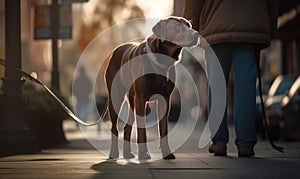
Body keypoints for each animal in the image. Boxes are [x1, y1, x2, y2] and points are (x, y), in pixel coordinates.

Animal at [105, 16, 199, 159]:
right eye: (177, 27)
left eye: (188, 25)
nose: (196, 34)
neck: (162, 61)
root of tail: (114, 51)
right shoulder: (141, 98)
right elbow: (142, 130)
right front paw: (144, 153)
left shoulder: (165, 99)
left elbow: (163, 129)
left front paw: (167, 152)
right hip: (116, 96)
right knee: (114, 127)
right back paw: (114, 152)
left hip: (132, 99)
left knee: (127, 127)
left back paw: (127, 153)